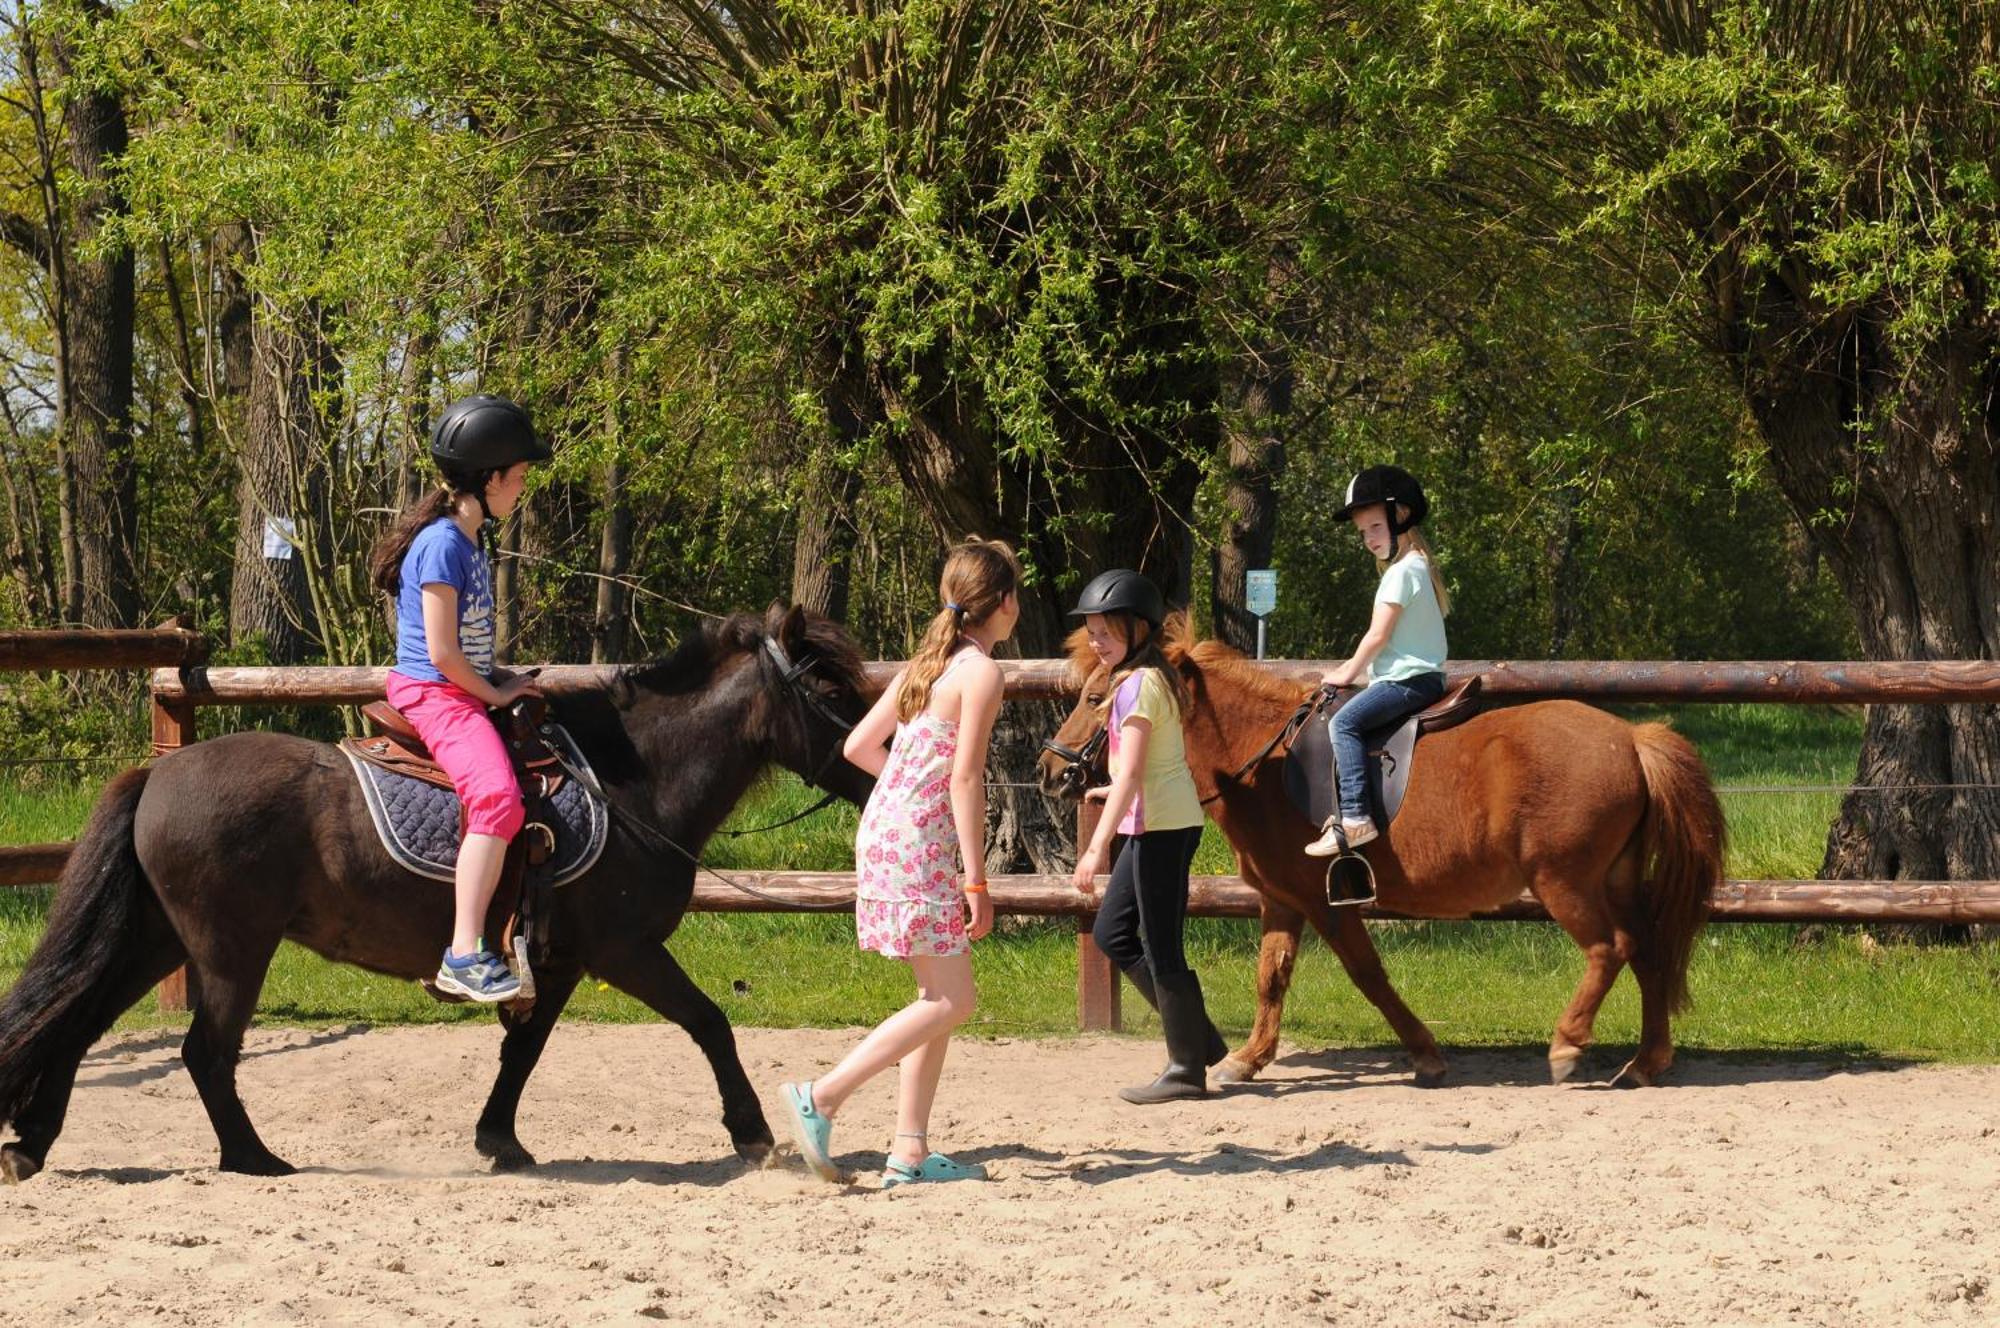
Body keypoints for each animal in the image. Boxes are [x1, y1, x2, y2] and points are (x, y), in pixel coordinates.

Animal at [1, 608, 876, 1176]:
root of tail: (161, 772)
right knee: (204, 1051)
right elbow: (710, 1023)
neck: (633, 785)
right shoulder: (624, 950)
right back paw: (254, 1159)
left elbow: (525, 1050)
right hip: (228, 950)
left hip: (160, 938)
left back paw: (33, 1145)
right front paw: (751, 1134)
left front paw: (501, 1141)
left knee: (78, 1024)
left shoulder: (558, 960)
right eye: (835, 693)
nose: (887, 756)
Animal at [1040, 628, 1728, 1096]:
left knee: (1610, 949)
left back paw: (1567, 1045)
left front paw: (1425, 1054)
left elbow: (1368, 976)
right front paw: (1246, 1058)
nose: (1050, 770)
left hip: (1567, 881)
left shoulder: (1326, 902)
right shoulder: (1282, 900)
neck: (1262, 764)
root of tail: (1631, 739)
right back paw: (1644, 1062)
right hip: (1614, 879)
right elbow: (1271, 978)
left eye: (1099, 697)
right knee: (1647, 950)